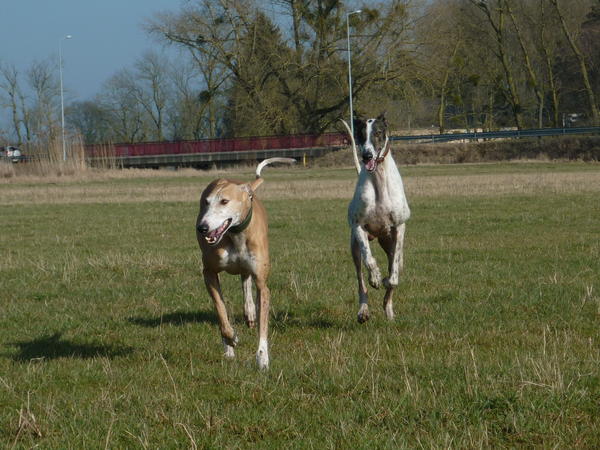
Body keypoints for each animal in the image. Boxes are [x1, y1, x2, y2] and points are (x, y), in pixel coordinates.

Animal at [197, 156, 296, 368]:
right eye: (206, 202)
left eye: (224, 201)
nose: (202, 227)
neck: (235, 235)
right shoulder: (209, 273)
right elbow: (221, 312)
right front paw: (231, 340)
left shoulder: (262, 284)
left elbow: (263, 321)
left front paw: (262, 357)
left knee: (246, 280)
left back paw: (250, 312)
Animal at [342, 114, 408, 322]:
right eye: (361, 134)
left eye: (378, 133)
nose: (367, 156)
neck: (378, 179)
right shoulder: (358, 227)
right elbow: (369, 259)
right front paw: (376, 277)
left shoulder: (399, 227)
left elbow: (393, 278)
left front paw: (386, 279)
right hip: (354, 247)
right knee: (360, 280)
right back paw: (363, 310)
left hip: (389, 244)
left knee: (396, 268)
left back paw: (389, 310)